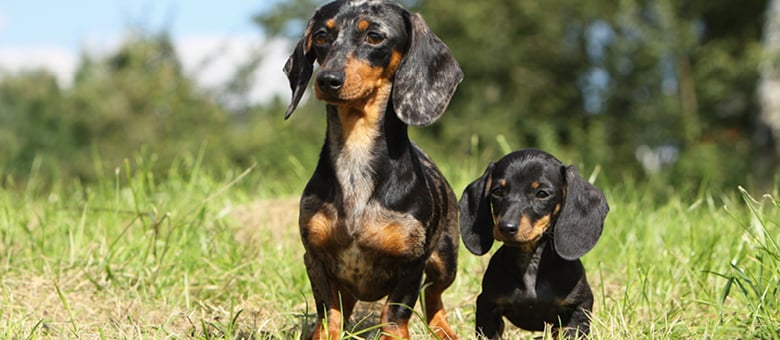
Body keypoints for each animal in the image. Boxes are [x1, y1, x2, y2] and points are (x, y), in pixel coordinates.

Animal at [284, 1, 464, 338]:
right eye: (321, 36)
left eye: (375, 36)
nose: (327, 79)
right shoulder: (314, 258)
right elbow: (329, 314)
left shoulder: (411, 266)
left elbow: (393, 316)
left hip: (446, 260)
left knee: (434, 294)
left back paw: (443, 329)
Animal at [460, 149, 608, 340]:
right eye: (497, 191)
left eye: (542, 194)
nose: (506, 227)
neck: (530, 262)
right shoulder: (487, 305)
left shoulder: (579, 306)